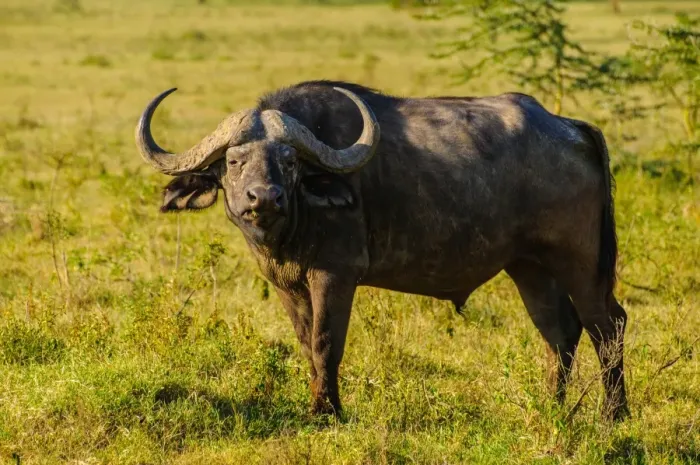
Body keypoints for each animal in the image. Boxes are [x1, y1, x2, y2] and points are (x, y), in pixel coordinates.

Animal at [135, 81, 629, 420]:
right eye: (234, 162)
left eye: (289, 161)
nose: (265, 198)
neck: (294, 224)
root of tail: (570, 128)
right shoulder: (286, 285)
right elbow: (305, 344)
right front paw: (318, 403)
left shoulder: (335, 275)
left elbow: (326, 341)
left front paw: (327, 413)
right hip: (529, 266)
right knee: (559, 330)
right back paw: (553, 406)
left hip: (580, 262)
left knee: (607, 325)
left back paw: (614, 415)